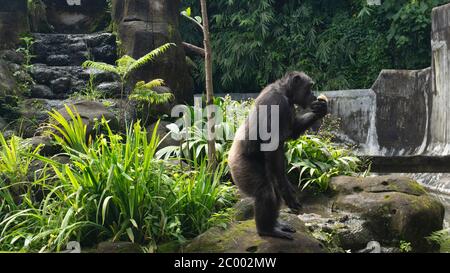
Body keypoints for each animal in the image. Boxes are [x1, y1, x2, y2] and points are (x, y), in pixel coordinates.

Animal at [229, 70, 326, 238]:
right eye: (309, 87)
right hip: (241, 167)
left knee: (273, 189)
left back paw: (276, 225)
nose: (313, 94)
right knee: (265, 192)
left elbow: (293, 130)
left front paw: (321, 109)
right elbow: (272, 146)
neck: (285, 92)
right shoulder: (277, 103)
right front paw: (288, 193)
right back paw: (267, 230)